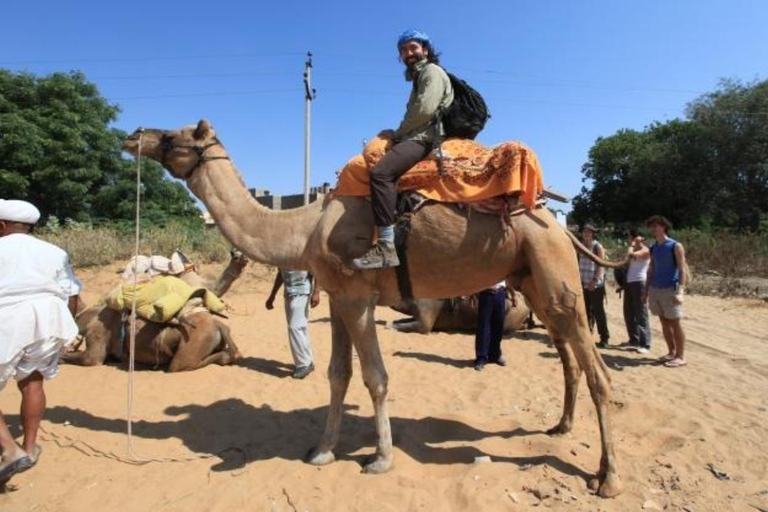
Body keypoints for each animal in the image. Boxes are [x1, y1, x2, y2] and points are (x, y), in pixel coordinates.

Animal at [121, 119, 624, 496]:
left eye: (174, 137)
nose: (133, 135)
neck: (304, 229)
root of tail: (560, 225)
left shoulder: (360, 297)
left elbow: (376, 377)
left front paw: (380, 459)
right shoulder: (339, 296)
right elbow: (337, 374)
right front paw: (322, 451)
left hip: (555, 272)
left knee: (598, 372)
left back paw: (607, 478)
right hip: (532, 279)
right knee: (570, 358)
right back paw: (560, 428)